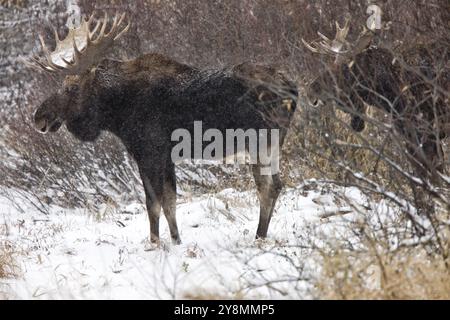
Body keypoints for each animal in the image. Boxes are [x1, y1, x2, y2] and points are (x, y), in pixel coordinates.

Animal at [25, 11, 298, 244]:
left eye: (71, 87)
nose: (39, 116)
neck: (116, 113)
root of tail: (292, 88)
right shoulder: (167, 156)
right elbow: (170, 202)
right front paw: (176, 241)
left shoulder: (149, 152)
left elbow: (152, 204)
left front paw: (155, 243)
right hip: (273, 143)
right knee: (277, 184)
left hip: (260, 141)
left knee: (267, 187)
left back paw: (258, 237)